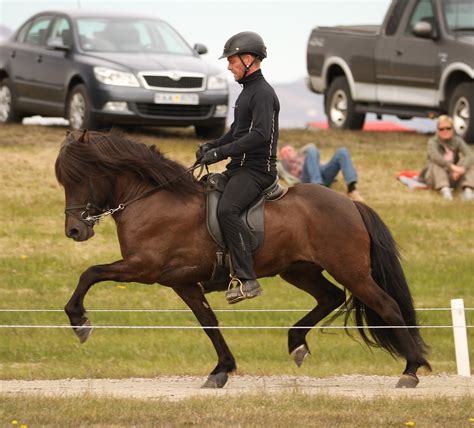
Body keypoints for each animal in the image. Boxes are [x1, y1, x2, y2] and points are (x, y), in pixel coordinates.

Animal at [54, 130, 430, 388]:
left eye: (79, 177)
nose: (74, 230)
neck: (152, 199)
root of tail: (350, 204)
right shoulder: (182, 281)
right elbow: (209, 323)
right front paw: (221, 370)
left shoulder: (143, 267)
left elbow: (90, 273)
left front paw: (79, 321)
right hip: (299, 271)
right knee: (331, 297)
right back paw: (296, 343)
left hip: (351, 271)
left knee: (387, 306)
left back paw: (410, 370)